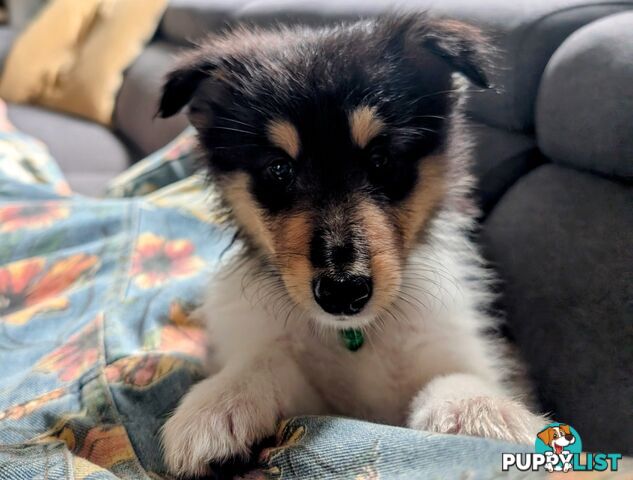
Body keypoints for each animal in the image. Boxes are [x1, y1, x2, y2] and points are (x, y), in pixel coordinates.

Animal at [157, 14, 544, 476]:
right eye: (279, 169)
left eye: (381, 159)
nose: (343, 292)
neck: (353, 335)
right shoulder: (301, 383)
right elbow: (265, 362)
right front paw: (217, 405)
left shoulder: (460, 347)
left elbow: (453, 377)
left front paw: (481, 411)